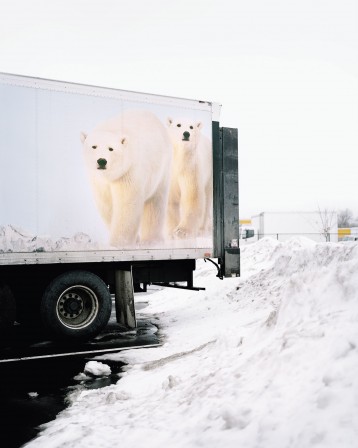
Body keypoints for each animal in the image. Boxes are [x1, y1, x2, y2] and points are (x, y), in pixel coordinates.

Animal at [81, 110, 172, 247]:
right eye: (94, 146)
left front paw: (118, 243)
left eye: (111, 148)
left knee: (155, 204)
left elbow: (126, 205)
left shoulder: (129, 173)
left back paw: (151, 240)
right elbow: (107, 205)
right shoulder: (99, 183)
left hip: (161, 171)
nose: (102, 161)